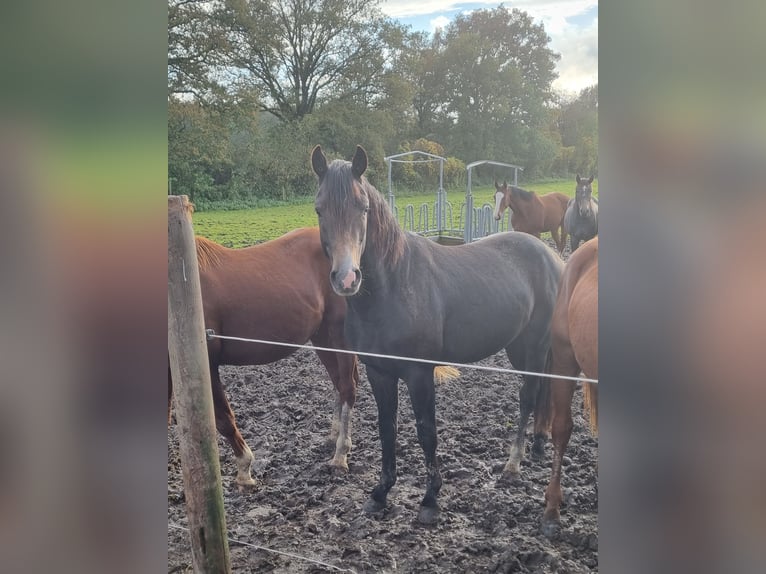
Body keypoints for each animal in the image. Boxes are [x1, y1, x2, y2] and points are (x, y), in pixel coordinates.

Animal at [168, 227, 360, 488]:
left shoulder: (208, 363)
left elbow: (224, 419)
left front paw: (244, 470)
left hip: (339, 335)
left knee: (348, 387)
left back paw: (340, 455)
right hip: (322, 337)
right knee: (339, 383)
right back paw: (334, 435)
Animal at [312, 145, 564, 528]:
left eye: (363, 208)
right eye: (319, 209)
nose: (346, 278)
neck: (394, 286)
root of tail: (550, 255)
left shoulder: (419, 374)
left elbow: (426, 431)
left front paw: (430, 500)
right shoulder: (378, 372)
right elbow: (387, 428)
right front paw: (380, 493)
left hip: (534, 345)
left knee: (528, 396)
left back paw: (514, 463)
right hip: (518, 346)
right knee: (539, 392)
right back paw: (535, 447)